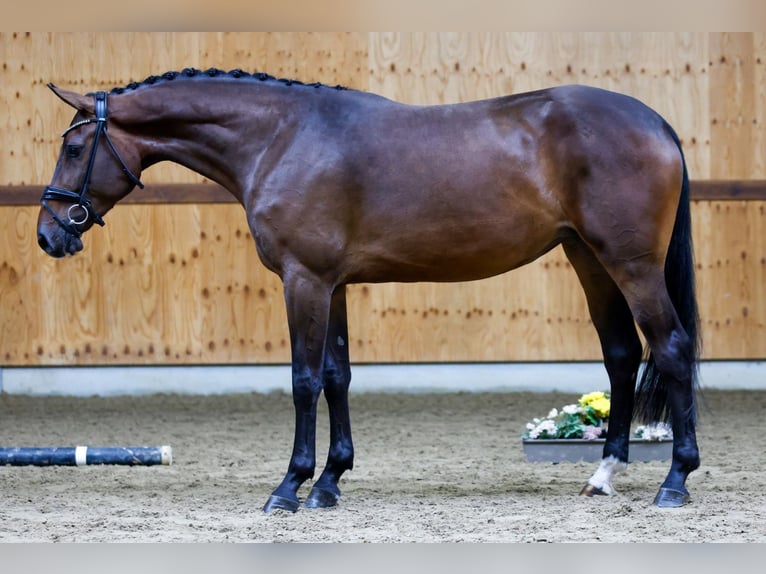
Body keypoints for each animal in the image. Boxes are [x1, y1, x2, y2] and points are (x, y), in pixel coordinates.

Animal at [39, 67, 704, 512]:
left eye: (73, 147)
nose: (49, 234)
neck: (281, 138)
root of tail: (654, 120)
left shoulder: (304, 280)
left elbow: (304, 380)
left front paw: (290, 487)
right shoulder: (331, 285)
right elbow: (337, 376)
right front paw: (330, 482)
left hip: (631, 264)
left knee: (671, 347)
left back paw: (675, 481)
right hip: (589, 259)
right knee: (622, 354)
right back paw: (603, 475)